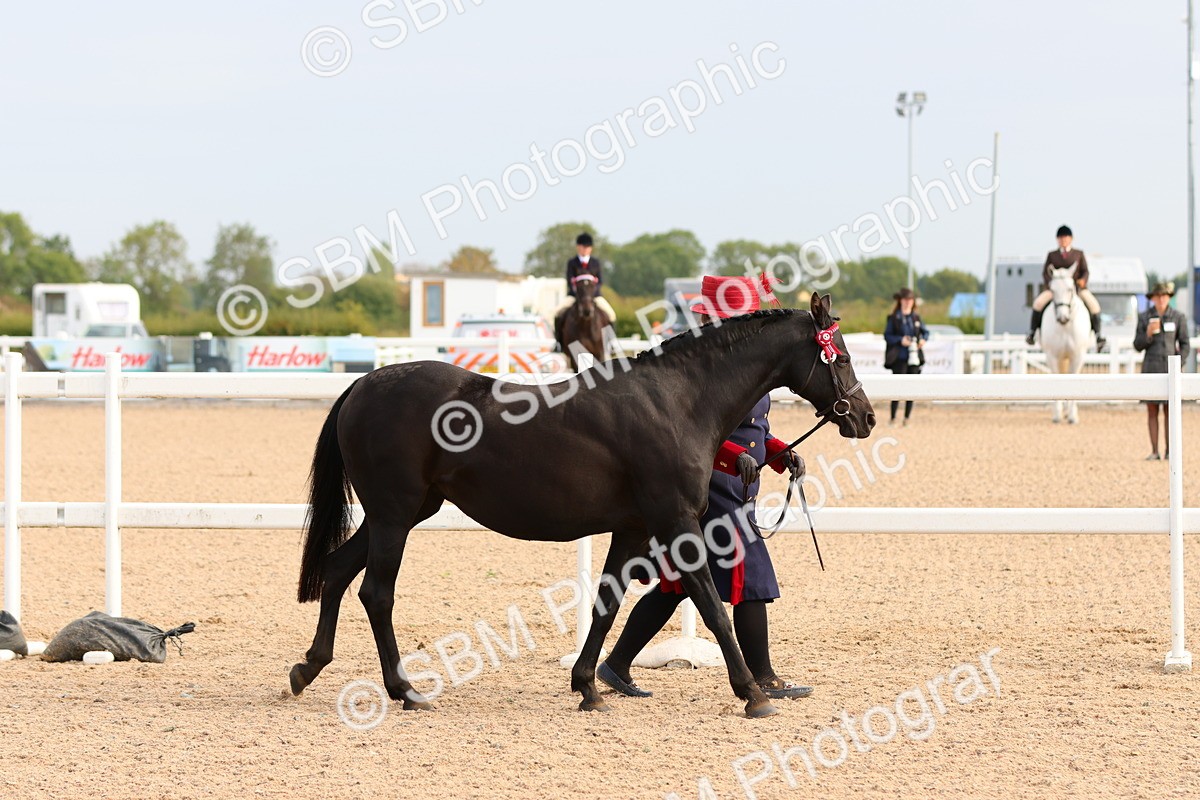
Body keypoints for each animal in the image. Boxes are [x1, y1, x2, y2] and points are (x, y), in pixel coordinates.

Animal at [288, 293, 876, 719]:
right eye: (842, 355)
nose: (864, 416)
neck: (677, 401)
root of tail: (364, 383)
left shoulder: (633, 529)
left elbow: (608, 603)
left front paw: (587, 687)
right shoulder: (677, 524)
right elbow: (712, 607)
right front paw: (752, 694)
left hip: (401, 512)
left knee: (337, 570)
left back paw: (308, 669)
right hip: (395, 514)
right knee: (376, 593)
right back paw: (404, 690)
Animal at [1039, 266, 1091, 424]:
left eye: (1070, 289)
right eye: (1052, 290)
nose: (1062, 318)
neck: (1065, 327)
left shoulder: (1078, 356)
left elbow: (1072, 379)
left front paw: (1072, 416)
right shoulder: (1052, 356)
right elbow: (1057, 379)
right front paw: (1057, 414)